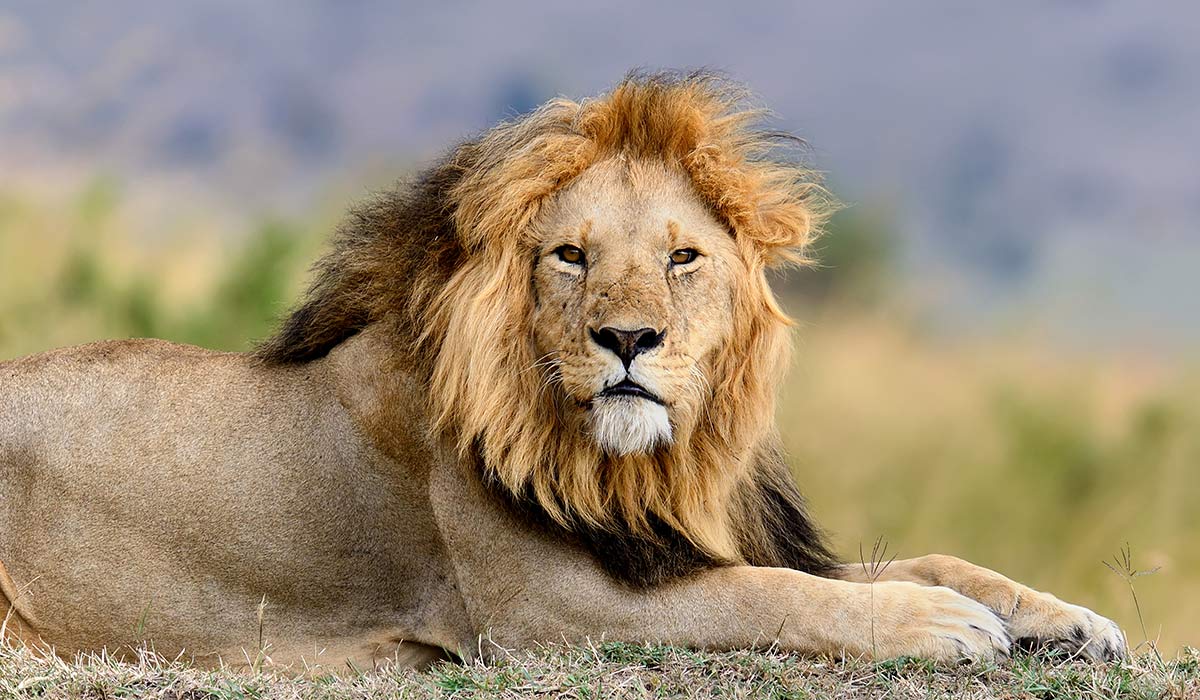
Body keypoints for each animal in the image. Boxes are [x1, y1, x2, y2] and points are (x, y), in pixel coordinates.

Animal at [0, 72, 1125, 672]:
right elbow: (773, 595)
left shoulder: (673, 540)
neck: (646, 464)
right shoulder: (549, 611)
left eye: (682, 257)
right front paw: (936, 624)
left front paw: (1068, 616)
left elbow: (930, 558)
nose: (628, 339)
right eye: (571, 256)